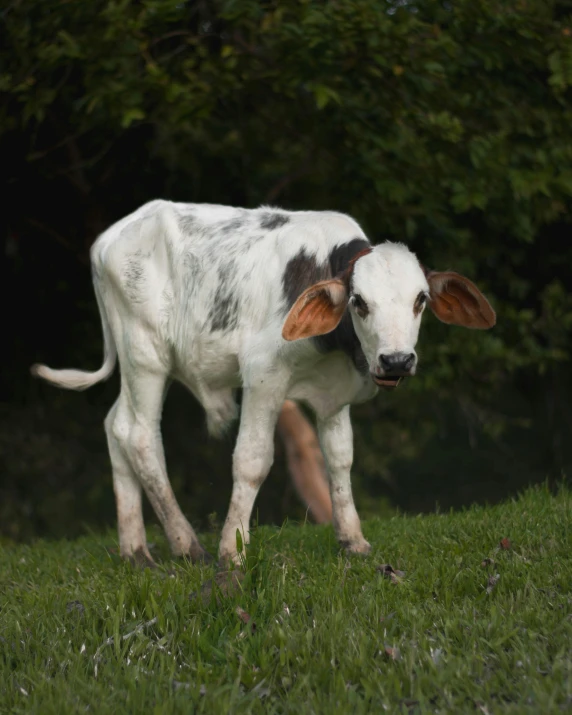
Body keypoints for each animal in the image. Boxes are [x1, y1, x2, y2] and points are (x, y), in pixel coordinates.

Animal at [32, 200, 496, 564]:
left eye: (421, 300)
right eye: (358, 301)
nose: (396, 360)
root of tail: (111, 236)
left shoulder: (335, 396)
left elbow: (339, 459)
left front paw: (353, 539)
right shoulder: (263, 376)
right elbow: (252, 461)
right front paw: (232, 550)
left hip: (134, 366)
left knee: (115, 426)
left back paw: (135, 550)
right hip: (145, 354)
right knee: (139, 435)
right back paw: (185, 544)